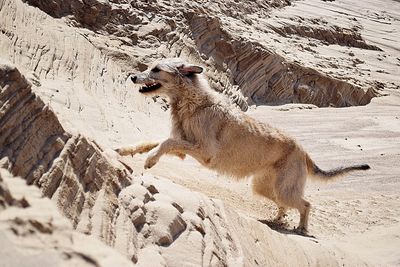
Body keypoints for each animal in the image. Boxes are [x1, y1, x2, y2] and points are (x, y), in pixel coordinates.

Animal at [116, 58, 372, 234]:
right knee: (284, 205)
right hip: (265, 187)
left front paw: (150, 159)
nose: (132, 77)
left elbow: (166, 142)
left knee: (305, 204)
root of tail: (304, 152)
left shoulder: (204, 151)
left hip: (284, 188)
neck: (194, 102)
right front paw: (127, 150)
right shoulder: (182, 146)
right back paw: (278, 220)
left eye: (156, 69)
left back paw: (301, 227)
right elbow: (156, 141)